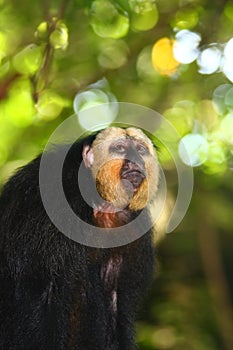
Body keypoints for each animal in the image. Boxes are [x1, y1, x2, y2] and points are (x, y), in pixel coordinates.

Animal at [0, 127, 159, 350]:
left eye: (140, 149)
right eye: (120, 148)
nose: (136, 160)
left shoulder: (134, 227)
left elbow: (116, 300)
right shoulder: (48, 203)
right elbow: (41, 292)